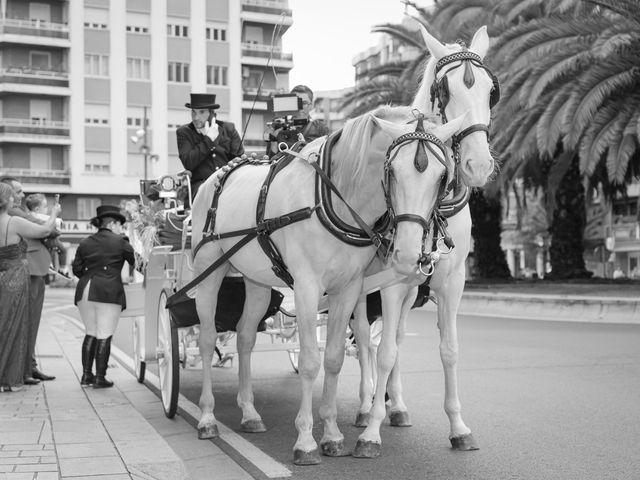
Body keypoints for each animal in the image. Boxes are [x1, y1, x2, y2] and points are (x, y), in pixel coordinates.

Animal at [190, 106, 464, 464]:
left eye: (443, 177)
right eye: (391, 171)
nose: (406, 254)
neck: (331, 198)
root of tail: (214, 179)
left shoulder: (347, 288)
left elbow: (333, 358)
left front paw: (332, 434)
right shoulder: (306, 286)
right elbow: (309, 362)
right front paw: (306, 440)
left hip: (256, 280)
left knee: (245, 336)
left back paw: (249, 413)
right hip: (209, 272)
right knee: (208, 340)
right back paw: (207, 417)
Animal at [352, 25, 498, 458]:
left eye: (491, 91)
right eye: (445, 90)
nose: (478, 165)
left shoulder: (451, 282)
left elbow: (447, 350)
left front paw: (459, 427)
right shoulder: (390, 284)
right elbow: (384, 352)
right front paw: (371, 433)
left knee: (394, 337)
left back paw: (395, 405)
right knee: (365, 340)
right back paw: (366, 406)